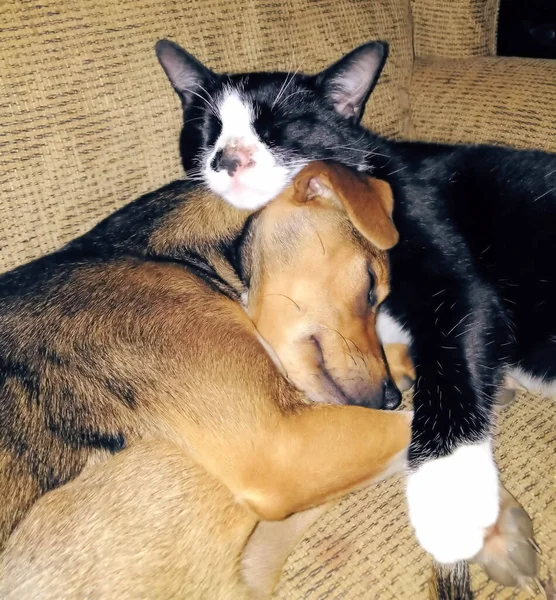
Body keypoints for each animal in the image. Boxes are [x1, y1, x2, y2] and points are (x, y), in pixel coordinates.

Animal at [155, 39, 556, 564]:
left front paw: (448, 494)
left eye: (279, 125)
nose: (228, 159)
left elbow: (453, 359)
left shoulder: (452, 270)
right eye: (208, 129)